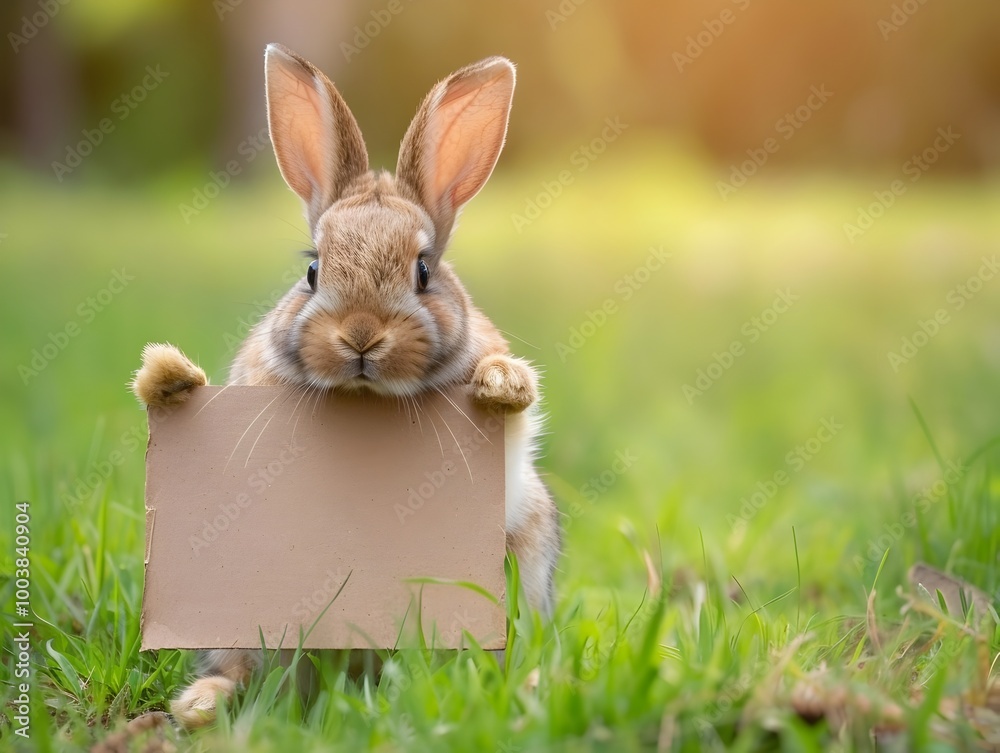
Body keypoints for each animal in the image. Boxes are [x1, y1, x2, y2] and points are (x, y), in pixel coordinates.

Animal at [130, 43, 561, 729]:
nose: (360, 335)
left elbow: (516, 419)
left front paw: (503, 381)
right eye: (312, 270)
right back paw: (200, 704)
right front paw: (167, 376)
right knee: (247, 673)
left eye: (424, 272)